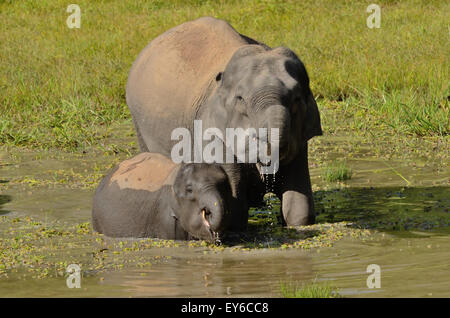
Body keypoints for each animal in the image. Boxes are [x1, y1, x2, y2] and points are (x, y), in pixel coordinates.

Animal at [126, 16, 322, 226]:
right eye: (241, 99)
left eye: (297, 98)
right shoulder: (210, 130)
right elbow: (235, 211)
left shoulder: (300, 138)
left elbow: (300, 209)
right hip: (138, 122)